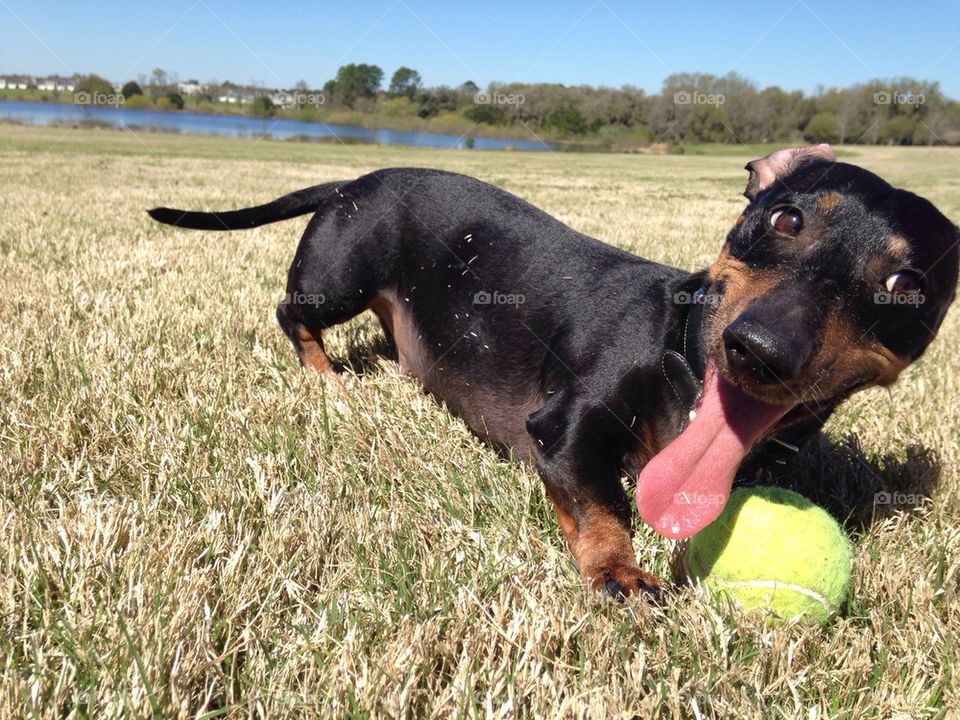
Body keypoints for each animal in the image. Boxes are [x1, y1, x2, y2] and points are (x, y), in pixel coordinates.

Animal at [150, 143, 960, 600]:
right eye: (787, 219)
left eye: (907, 284)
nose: (758, 349)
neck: (680, 356)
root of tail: (352, 180)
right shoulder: (564, 427)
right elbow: (603, 503)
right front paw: (619, 573)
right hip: (336, 278)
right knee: (292, 314)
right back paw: (322, 375)